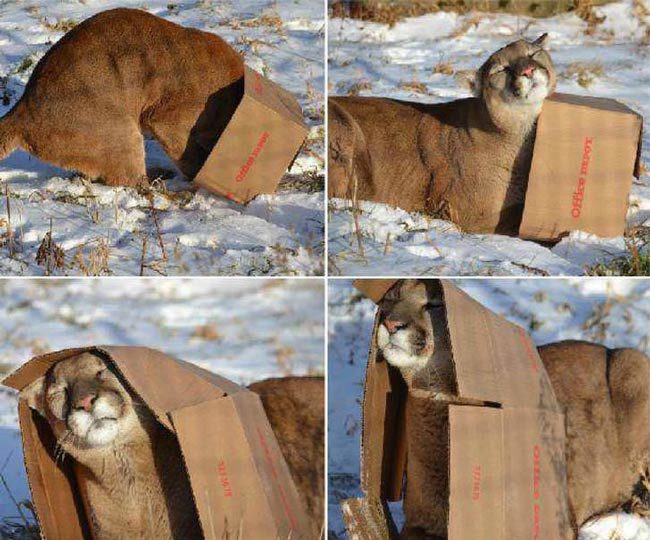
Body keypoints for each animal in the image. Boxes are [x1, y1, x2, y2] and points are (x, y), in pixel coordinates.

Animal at [374, 280, 648, 536]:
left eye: (433, 304)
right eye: (392, 298)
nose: (391, 324)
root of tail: (606, 347)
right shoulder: (418, 522)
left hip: (631, 364)